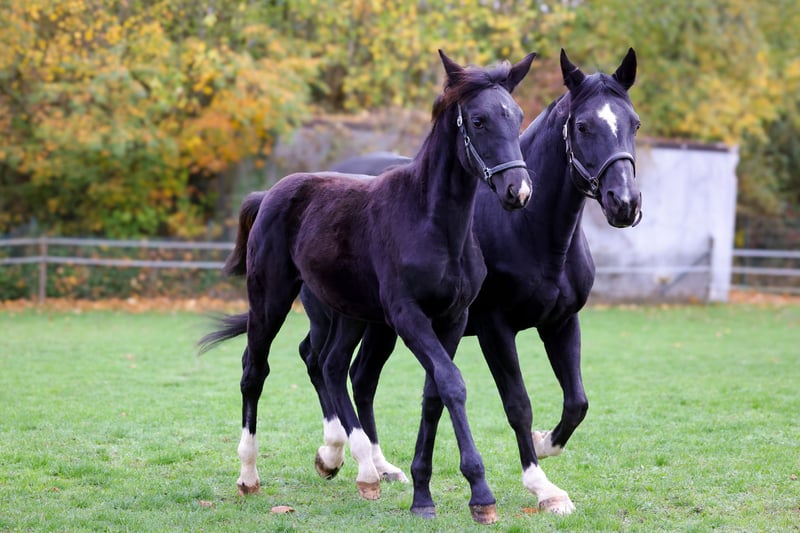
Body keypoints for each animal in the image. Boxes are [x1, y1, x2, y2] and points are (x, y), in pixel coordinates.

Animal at [198, 49, 536, 524]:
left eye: (518, 116)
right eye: (478, 120)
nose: (518, 191)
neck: (433, 223)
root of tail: (270, 193)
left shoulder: (452, 318)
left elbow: (434, 392)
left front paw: (423, 494)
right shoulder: (407, 315)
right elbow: (452, 383)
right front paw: (480, 494)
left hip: (348, 312)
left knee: (330, 366)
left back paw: (356, 465)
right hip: (270, 299)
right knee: (255, 370)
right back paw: (250, 475)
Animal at [299, 48, 642, 515]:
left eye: (634, 123)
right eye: (584, 126)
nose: (624, 203)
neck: (531, 228)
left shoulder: (561, 322)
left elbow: (577, 402)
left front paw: (545, 445)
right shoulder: (495, 329)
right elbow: (517, 405)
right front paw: (541, 485)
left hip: (380, 326)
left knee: (359, 376)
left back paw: (380, 465)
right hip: (346, 316)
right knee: (324, 364)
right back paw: (340, 454)